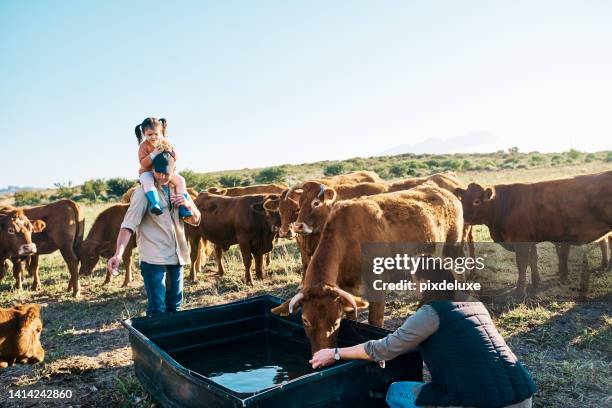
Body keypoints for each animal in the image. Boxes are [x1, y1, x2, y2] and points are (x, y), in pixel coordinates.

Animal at [272, 183, 464, 352]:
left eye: (336, 321)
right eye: (305, 320)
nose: (320, 355)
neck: (349, 240)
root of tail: (446, 192)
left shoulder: (377, 288)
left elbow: (375, 322)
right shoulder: (346, 291)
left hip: (453, 252)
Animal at [460, 171, 612, 294]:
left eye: (476, 201)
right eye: (461, 201)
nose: (463, 219)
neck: (506, 204)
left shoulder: (521, 241)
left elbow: (522, 263)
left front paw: (520, 290)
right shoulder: (530, 240)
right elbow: (533, 260)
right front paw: (535, 282)